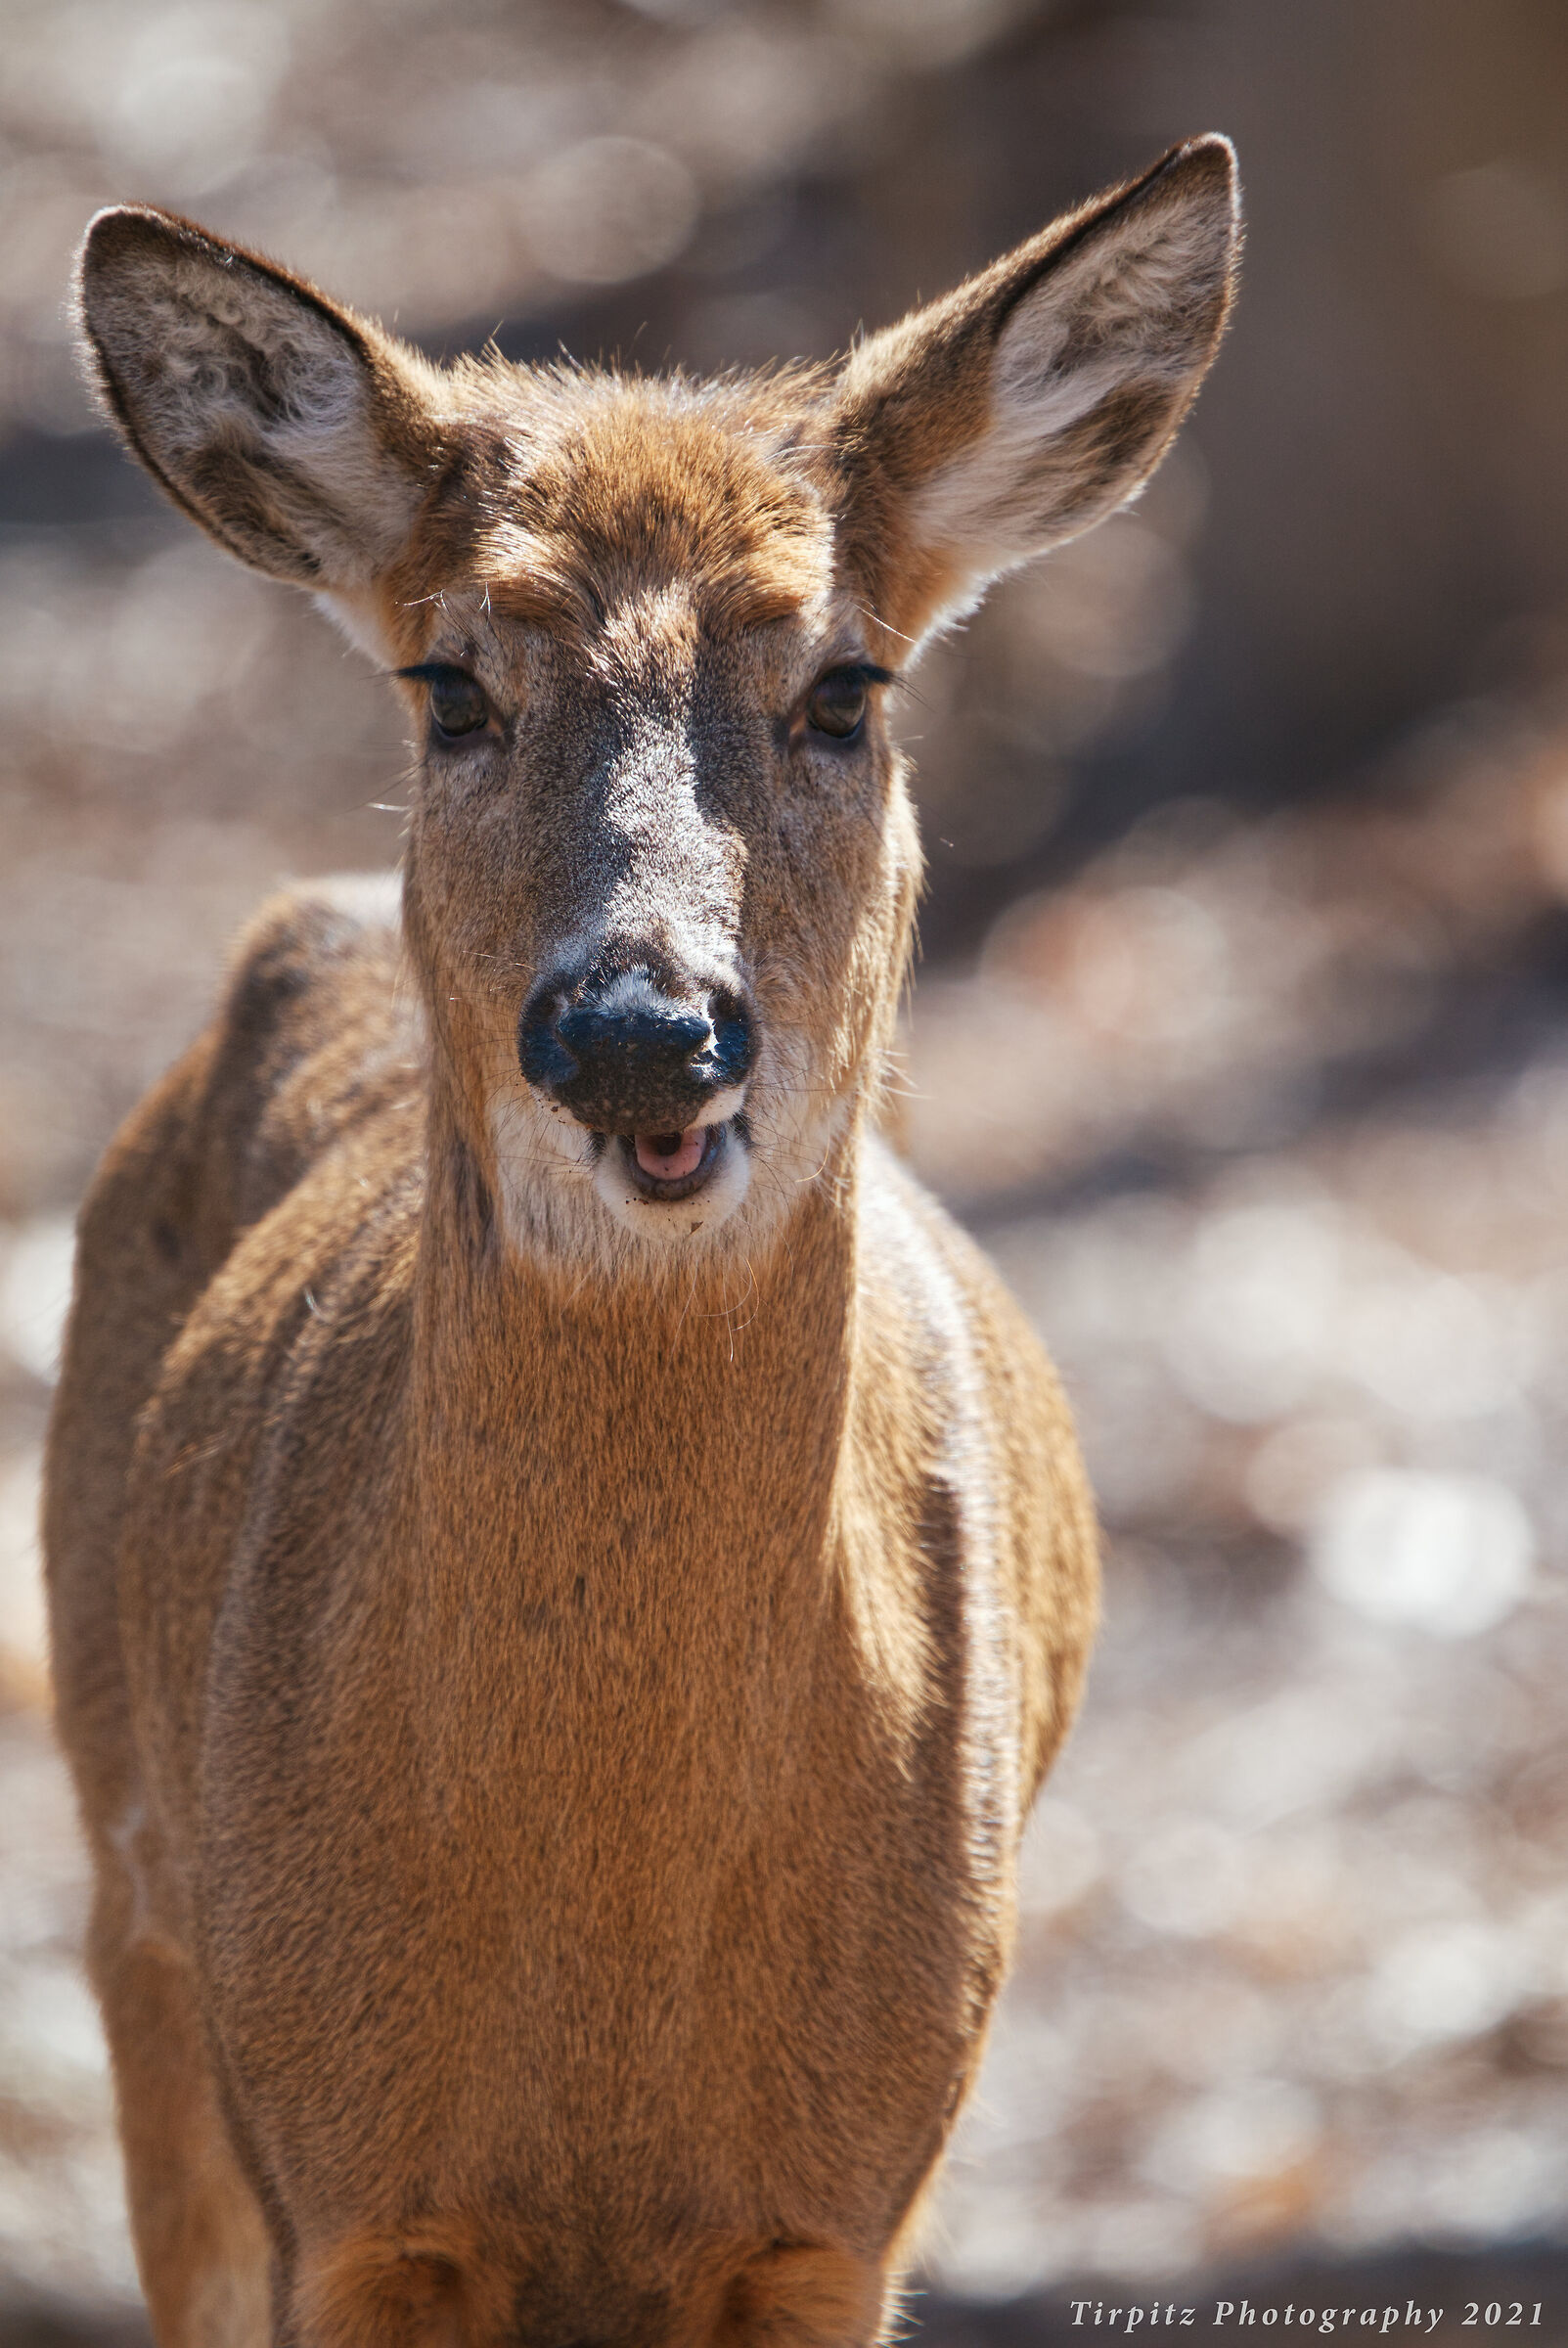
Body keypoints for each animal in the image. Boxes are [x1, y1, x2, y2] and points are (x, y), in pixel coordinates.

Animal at [44, 134, 1238, 2348]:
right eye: (451, 684)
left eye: (846, 684)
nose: (634, 1028)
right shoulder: (342, 2192)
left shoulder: (844, 2207)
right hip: (137, 1930)